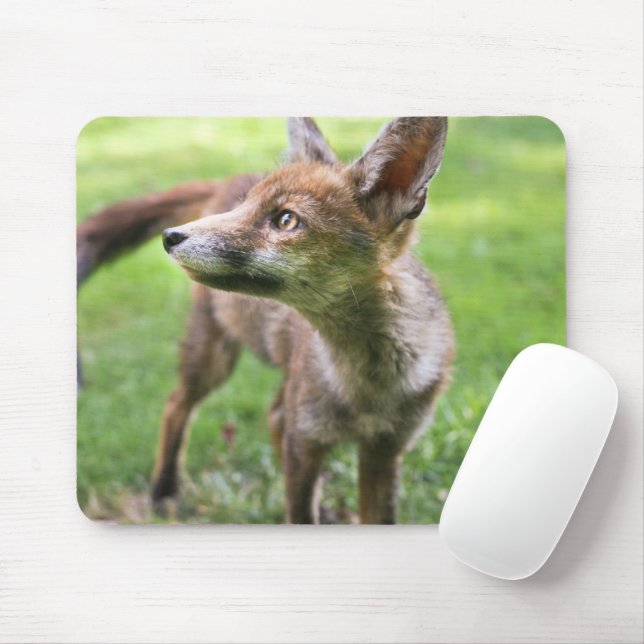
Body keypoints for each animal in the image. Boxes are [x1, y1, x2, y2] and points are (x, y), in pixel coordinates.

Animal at [77, 117, 454, 524]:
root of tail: (228, 180)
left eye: (286, 219)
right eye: (246, 207)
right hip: (214, 356)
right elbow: (299, 510)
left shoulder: (385, 450)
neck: (367, 389)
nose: (170, 236)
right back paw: (164, 491)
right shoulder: (306, 439)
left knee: (272, 416)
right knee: (176, 405)